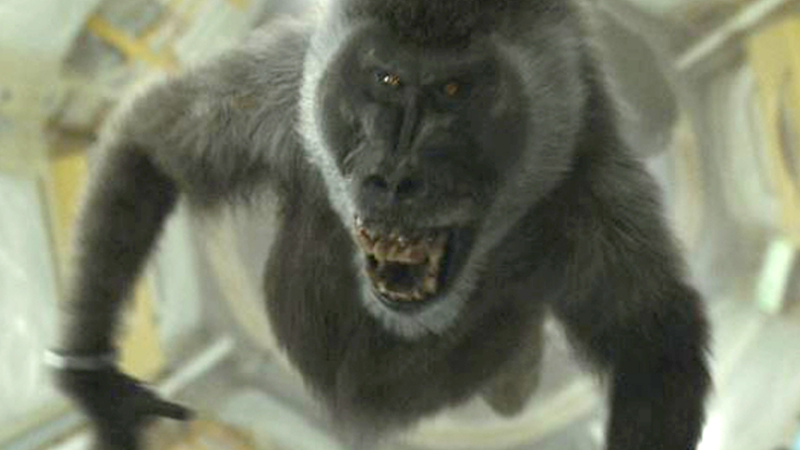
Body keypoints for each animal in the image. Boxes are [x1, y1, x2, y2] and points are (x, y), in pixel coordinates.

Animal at [51, 0, 711, 449]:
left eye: (456, 89)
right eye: (387, 79)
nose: (393, 178)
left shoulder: (592, 186)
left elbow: (658, 352)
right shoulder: (286, 88)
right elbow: (148, 143)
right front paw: (99, 392)